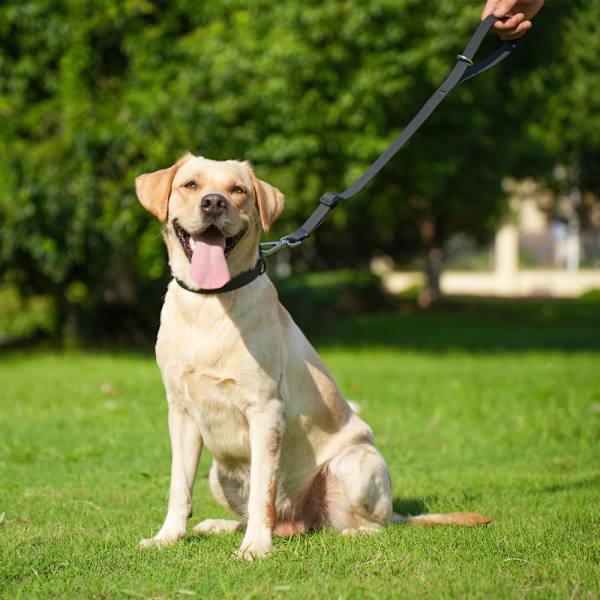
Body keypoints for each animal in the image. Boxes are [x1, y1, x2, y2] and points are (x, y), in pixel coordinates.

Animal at [134, 152, 490, 560]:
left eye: (237, 190)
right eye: (190, 185)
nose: (213, 203)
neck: (210, 305)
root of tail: (300, 520)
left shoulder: (266, 410)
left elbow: (263, 491)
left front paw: (255, 547)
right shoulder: (180, 412)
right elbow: (179, 487)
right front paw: (167, 537)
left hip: (355, 465)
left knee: (371, 526)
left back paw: (343, 533)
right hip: (218, 474)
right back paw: (224, 526)